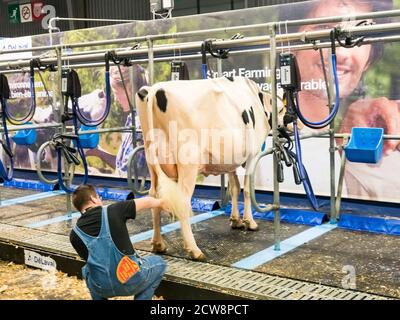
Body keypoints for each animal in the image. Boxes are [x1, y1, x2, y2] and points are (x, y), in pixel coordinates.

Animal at [134, 76, 278, 262]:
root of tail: (154, 89)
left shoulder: (229, 160)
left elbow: (234, 187)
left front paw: (235, 220)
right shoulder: (253, 155)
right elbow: (247, 190)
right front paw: (250, 222)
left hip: (152, 162)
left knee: (154, 196)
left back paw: (158, 244)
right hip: (188, 163)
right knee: (182, 201)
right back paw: (194, 250)